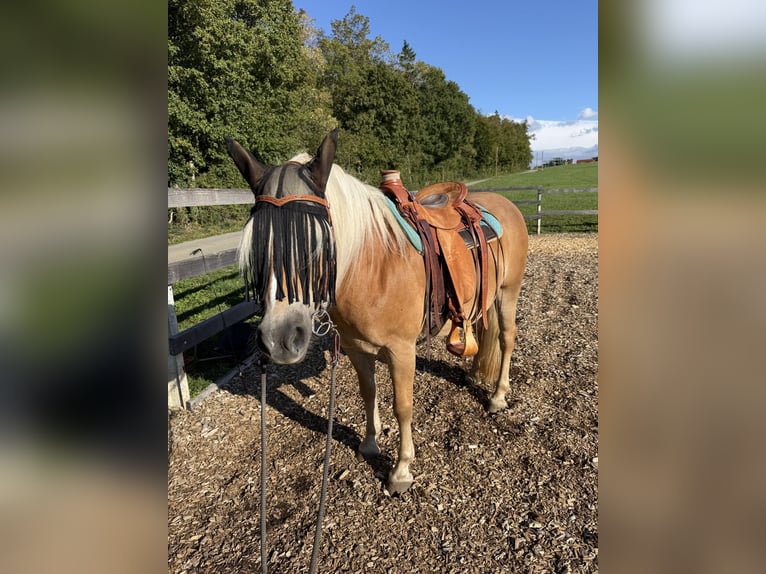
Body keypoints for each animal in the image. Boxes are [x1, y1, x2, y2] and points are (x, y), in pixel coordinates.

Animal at [226, 130, 528, 493]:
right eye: (257, 246)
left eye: (318, 245)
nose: (279, 340)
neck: (372, 266)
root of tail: (504, 203)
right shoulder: (356, 348)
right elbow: (367, 393)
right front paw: (369, 443)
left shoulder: (401, 350)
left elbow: (403, 406)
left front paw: (401, 470)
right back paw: (473, 374)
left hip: (508, 292)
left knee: (507, 339)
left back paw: (497, 396)